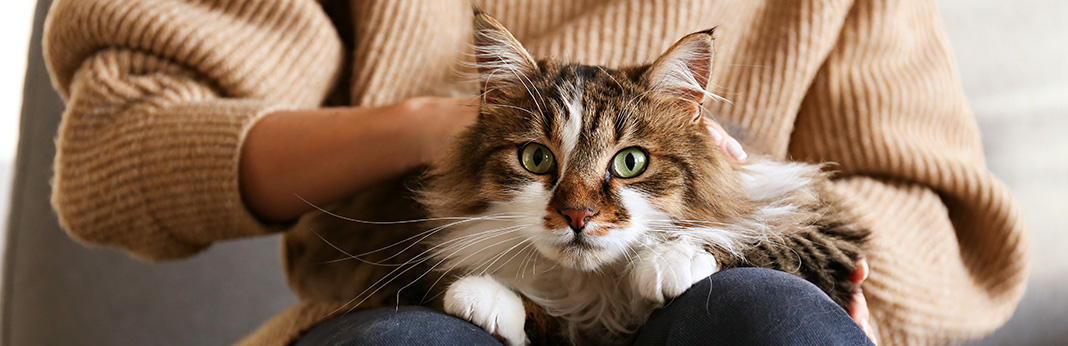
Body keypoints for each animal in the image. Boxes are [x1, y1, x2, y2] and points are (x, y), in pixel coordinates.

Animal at [407, 12, 867, 343]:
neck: (600, 287)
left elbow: (753, 237)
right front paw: (484, 297)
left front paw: (668, 261)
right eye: (536, 158)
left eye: (631, 162)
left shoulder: (825, 223)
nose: (578, 216)